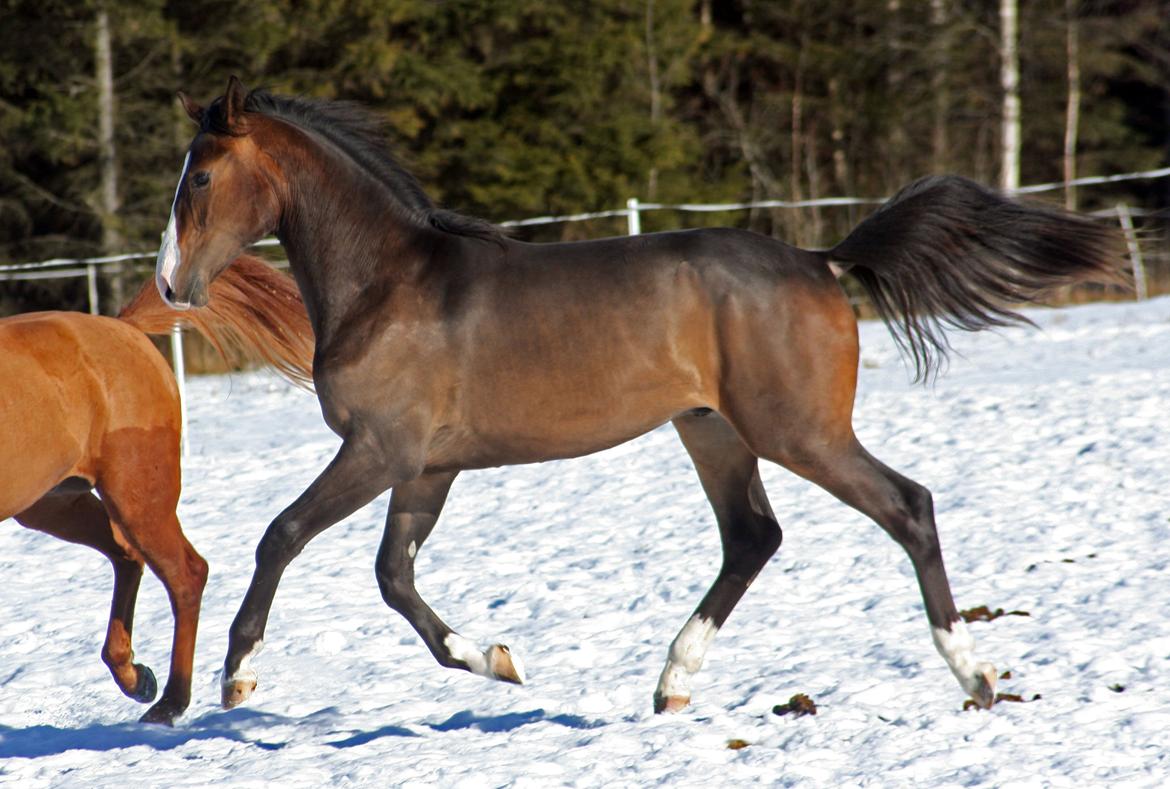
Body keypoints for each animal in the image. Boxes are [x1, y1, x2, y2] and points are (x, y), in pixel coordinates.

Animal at [0, 255, 313, 721]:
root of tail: (124, 327)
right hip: (55, 502)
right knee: (127, 555)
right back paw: (137, 678)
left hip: (137, 496)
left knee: (185, 573)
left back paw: (170, 701)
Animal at [157, 75, 1123, 711]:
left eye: (199, 177)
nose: (171, 286)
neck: (387, 283)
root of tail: (821, 260)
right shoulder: (425, 465)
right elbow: (394, 576)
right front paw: (498, 659)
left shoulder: (377, 449)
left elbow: (282, 534)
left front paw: (234, 676)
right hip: (713, 431)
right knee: (753, 536)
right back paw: (672, 680)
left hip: (797, 429)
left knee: (907, 505)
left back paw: (975, 674)